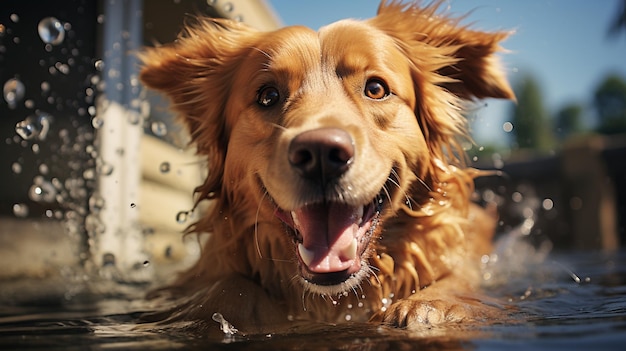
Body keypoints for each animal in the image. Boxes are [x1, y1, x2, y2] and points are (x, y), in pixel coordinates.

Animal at [140, 0, 512, 336]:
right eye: (267, 95)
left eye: (376, 88)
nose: (320, 154)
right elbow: (225, 291)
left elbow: (455, 282)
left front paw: (432, 306)